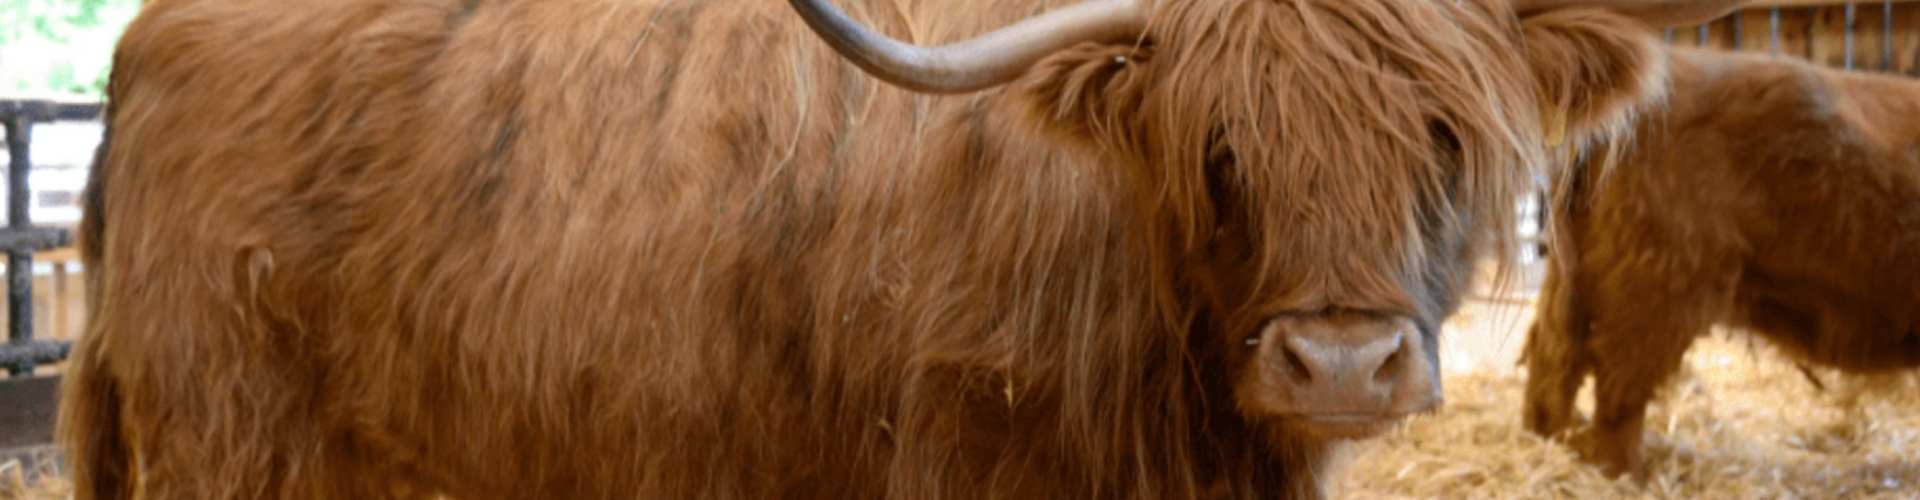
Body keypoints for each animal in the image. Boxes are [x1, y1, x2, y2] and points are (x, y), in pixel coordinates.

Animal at [1522, 44, 1920, 479]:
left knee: (1554, 358)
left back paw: (1551, 444)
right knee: (1616, 383)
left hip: (1578, 275)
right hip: (1659, 283)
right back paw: (1623, 474)